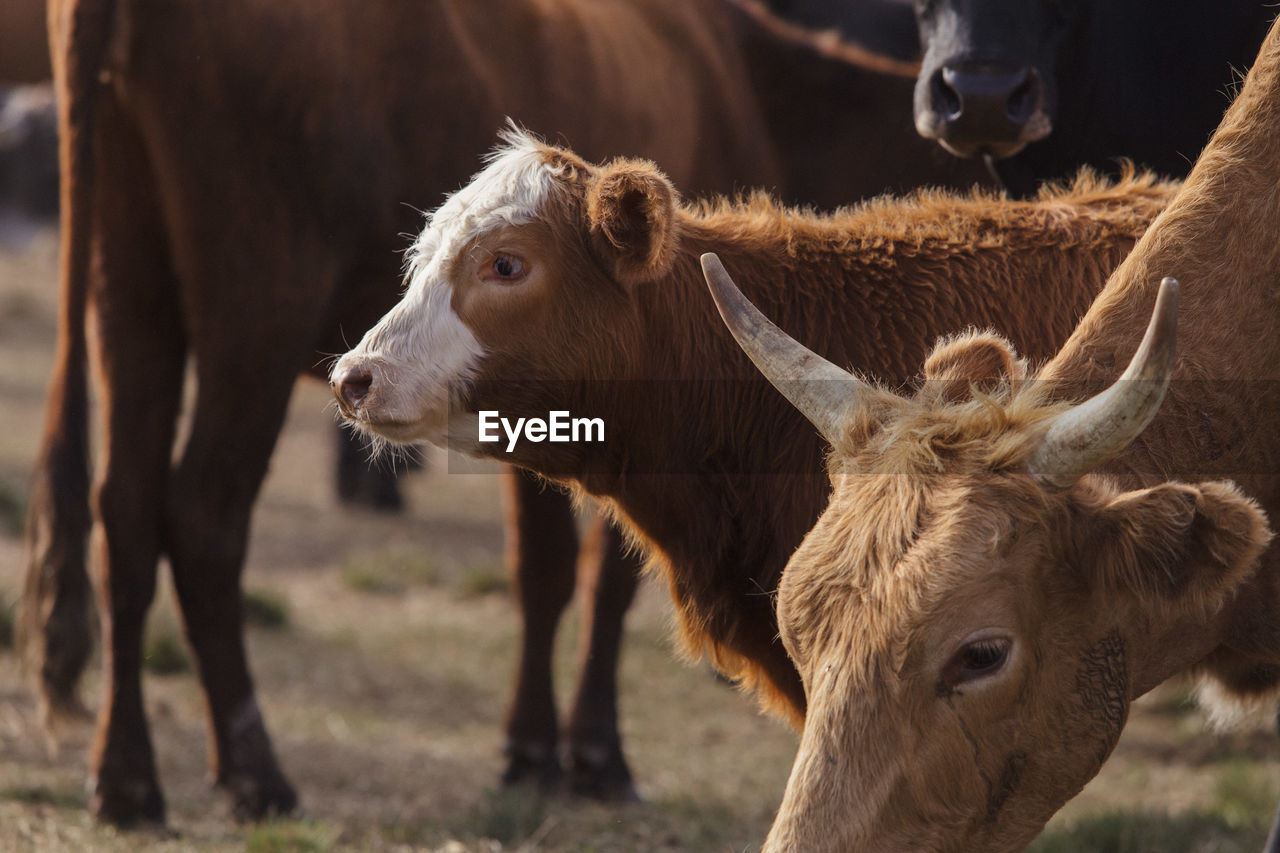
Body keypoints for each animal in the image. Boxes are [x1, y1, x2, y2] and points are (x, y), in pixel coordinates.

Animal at [27, 0, 988, 824]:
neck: (752, 81)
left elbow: (543, 565)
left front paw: (531, 748)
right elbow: (597, 576)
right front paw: (591, 753)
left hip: (133, 303)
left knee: (123, 512)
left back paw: (126, 779)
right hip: (252, 312)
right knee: (201, 517)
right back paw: (254, 769)